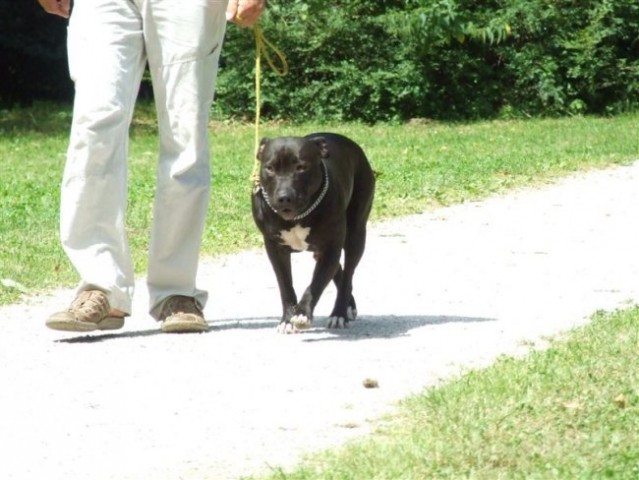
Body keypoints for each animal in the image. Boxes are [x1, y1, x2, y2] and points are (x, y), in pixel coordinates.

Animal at [252, 133, 378, 332]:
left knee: (347, 275)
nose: (284, 197)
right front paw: (287, 319)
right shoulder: (275, 249)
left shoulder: (331, 247)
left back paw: (339, 313)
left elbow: (316, 285)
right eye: (270, 168)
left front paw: (302, 313)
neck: (298, 216)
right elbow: (285, 285)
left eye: (301, 167)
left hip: (355, 237)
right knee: (339, 272)